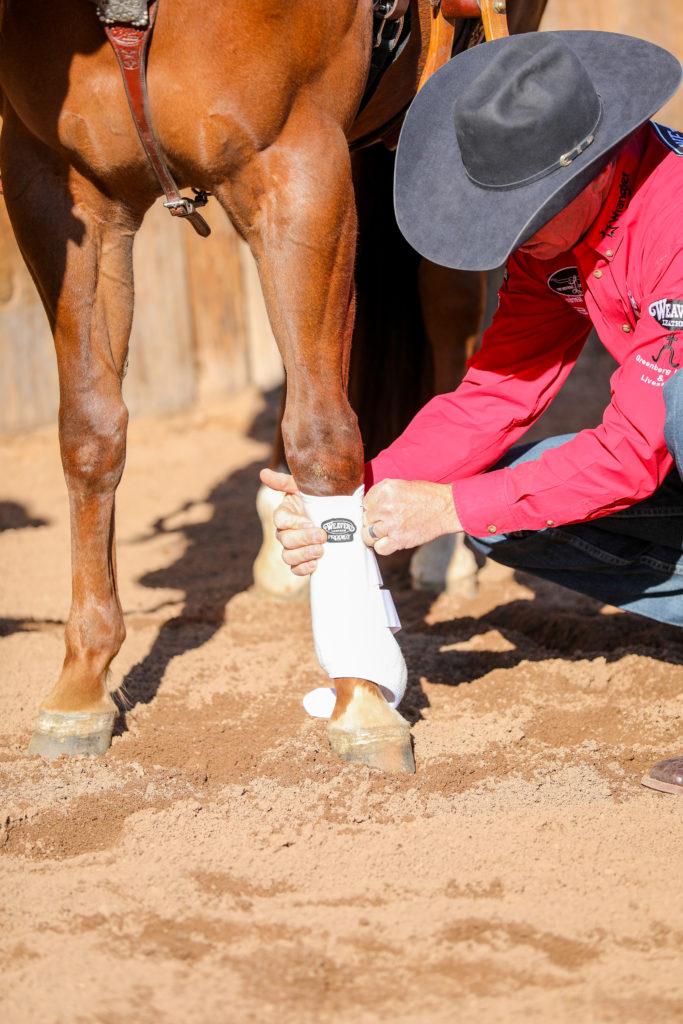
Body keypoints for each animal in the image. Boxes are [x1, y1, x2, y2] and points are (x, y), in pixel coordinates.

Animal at [0, 0, 546, 770]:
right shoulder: (64, 192)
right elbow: (90, 432)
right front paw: (81, 685)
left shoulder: (298, 165)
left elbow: (323, 436)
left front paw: (360, 697)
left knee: (441, 309)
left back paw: (443, 553)